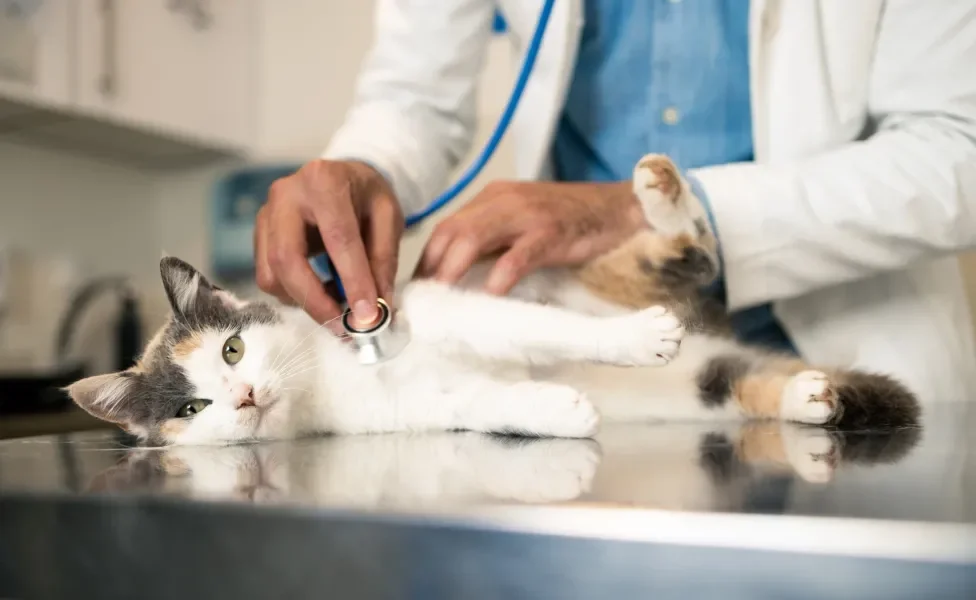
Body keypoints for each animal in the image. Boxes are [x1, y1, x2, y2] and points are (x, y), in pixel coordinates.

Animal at [65, 155, 920, 446]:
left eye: (233, 348)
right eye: (191, 409)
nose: (243, 396)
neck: (327, 377)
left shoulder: (456, 307)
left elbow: (536, 327)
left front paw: (631, 343)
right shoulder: (413, 411)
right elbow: (481, 402)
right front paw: (560, 409)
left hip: (587, 274)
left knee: (691, 254)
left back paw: (664, 194)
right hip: (704, 392)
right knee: (736, 379)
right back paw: (810, 397)